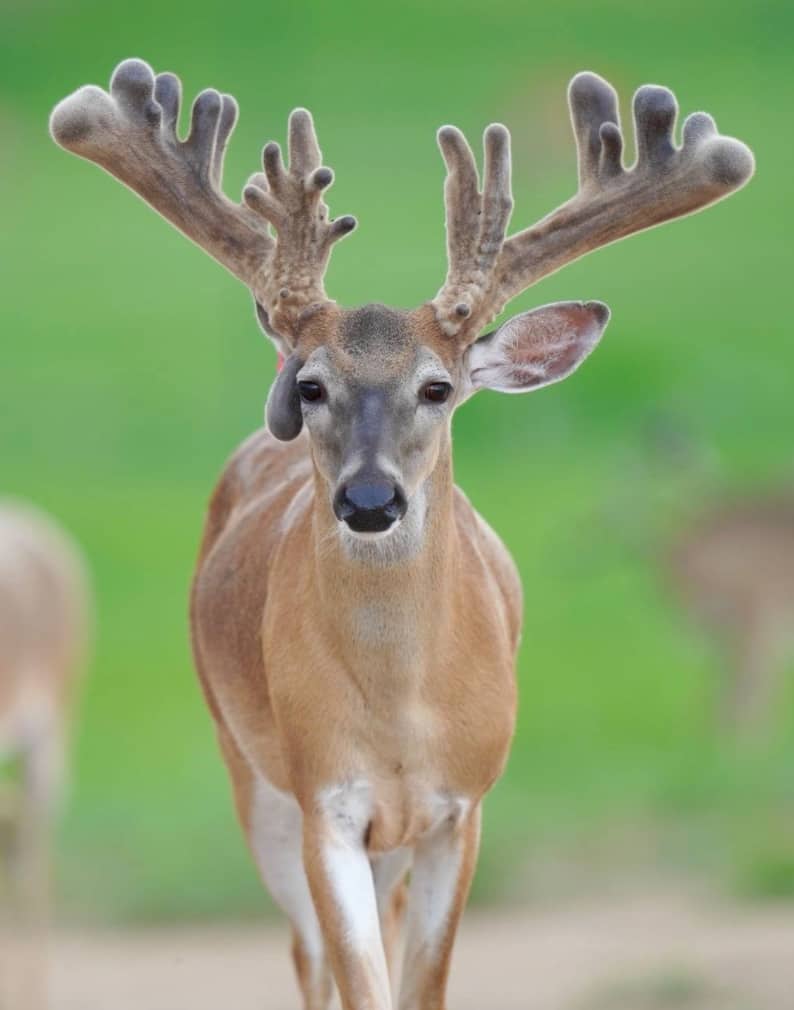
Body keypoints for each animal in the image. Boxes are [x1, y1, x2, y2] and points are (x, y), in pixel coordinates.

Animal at [50, 57, 753, 1010]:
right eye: (310, 386)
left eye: (438, 388)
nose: (371, 498)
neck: (401, 717)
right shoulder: (326, 801)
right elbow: (359, 979)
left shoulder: (464, 806)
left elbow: (422, 984)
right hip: (250, 772)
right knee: (307, 955)